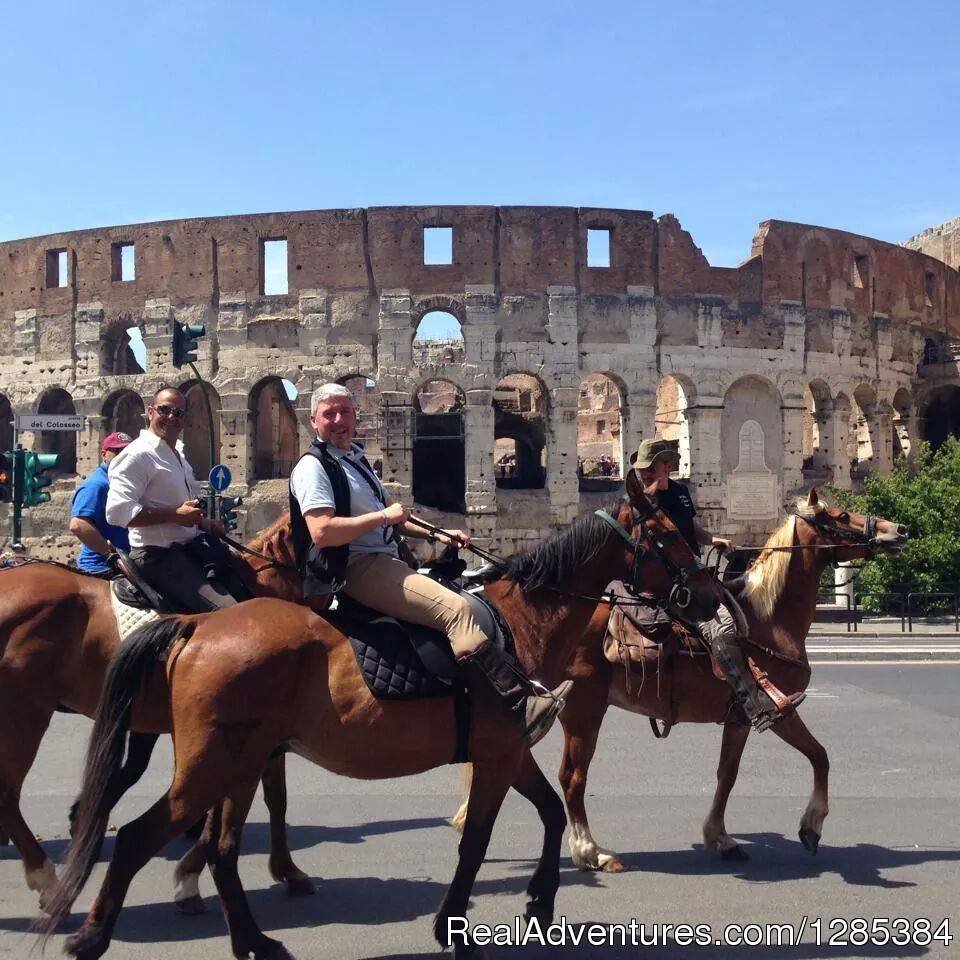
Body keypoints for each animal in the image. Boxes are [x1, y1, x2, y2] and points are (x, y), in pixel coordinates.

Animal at [43, 478, 720, 960]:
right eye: (669, 535)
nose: (709, 594)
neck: (517, 623)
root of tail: (197, 625)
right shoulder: (497, 755)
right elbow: (477, 841)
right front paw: (455, 926)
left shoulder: (507, 751)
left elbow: (551, 812)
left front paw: (538, 901)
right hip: (211, 765)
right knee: (141, 836)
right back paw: (91, 935)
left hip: (238, 762)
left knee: (223, 849)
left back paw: (253, 941)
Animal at [454, 492, 904, 872]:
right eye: (842, 515)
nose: (896, 529)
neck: (769, 618)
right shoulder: (778, 708)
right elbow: (820, 756)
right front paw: (812, 825)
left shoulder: (739, 718)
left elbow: (727, 774)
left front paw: (720, 837)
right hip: (584, 710)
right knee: (571, 776)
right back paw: (589, 850)